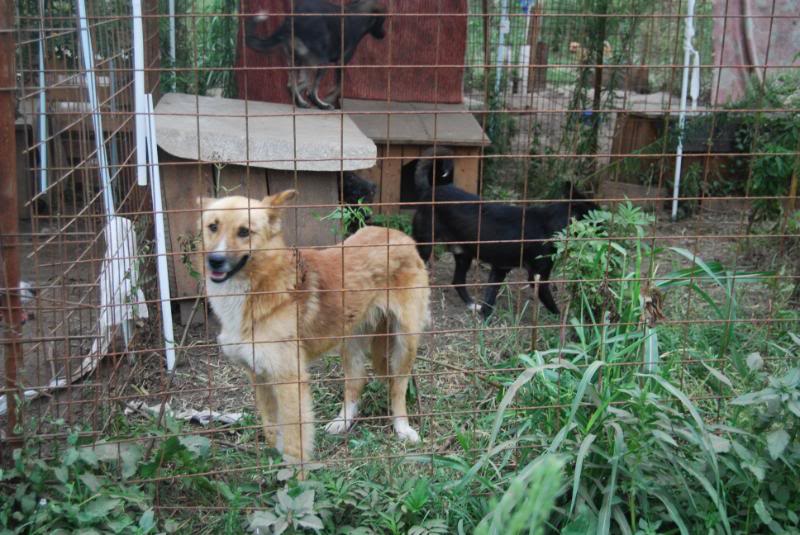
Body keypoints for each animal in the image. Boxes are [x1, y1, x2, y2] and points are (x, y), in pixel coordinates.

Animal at [197, 193, 428, 464]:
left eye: (244, 231)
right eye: (213, 227)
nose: (215, 261)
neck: (261, 286)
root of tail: (398, 234)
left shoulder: (288, 378)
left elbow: (295, 437)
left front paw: (294, 470)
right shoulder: (259, 375)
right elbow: (270, 427)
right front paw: (276, 458)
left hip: (405, 340)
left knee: (398, 385)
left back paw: (402, 427)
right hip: (350, 339)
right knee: (355, 382)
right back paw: (342, 422)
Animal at [245, 0, 386, 110]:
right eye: (383, 21)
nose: (384, 35)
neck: (357, 13)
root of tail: (291, 20)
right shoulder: (341, 62)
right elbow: (339, 86)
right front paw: (329, 98)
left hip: (297, 60)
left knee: (293, 85)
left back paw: (302, 103)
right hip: (320, 62)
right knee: (310, 89)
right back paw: (322, 105)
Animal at [416, 148, 596, 318]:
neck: (552, 223)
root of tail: (431, 190)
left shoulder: (500, 268)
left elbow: (489, 299)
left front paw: (484, 318)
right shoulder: (537, 276)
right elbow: (552, 305)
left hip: (463, 254)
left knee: (458, 281)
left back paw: (472, 305)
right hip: (425, 246)